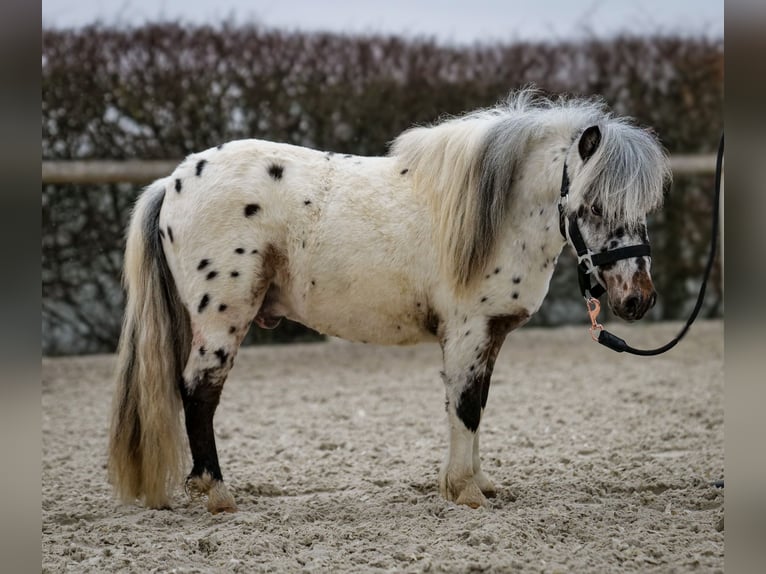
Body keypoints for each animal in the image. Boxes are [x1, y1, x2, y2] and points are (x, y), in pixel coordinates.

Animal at [108, 91, 672, 516]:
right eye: (592, 206)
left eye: (644, 206)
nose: (637, 299)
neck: (496, 217)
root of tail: (172, 183)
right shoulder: (468, 332)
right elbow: (465, 407)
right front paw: (466, 492)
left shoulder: (487, 336)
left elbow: (477, 405)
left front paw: (480, 483)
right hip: (222, 320)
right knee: (199, 392)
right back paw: (219, 494)